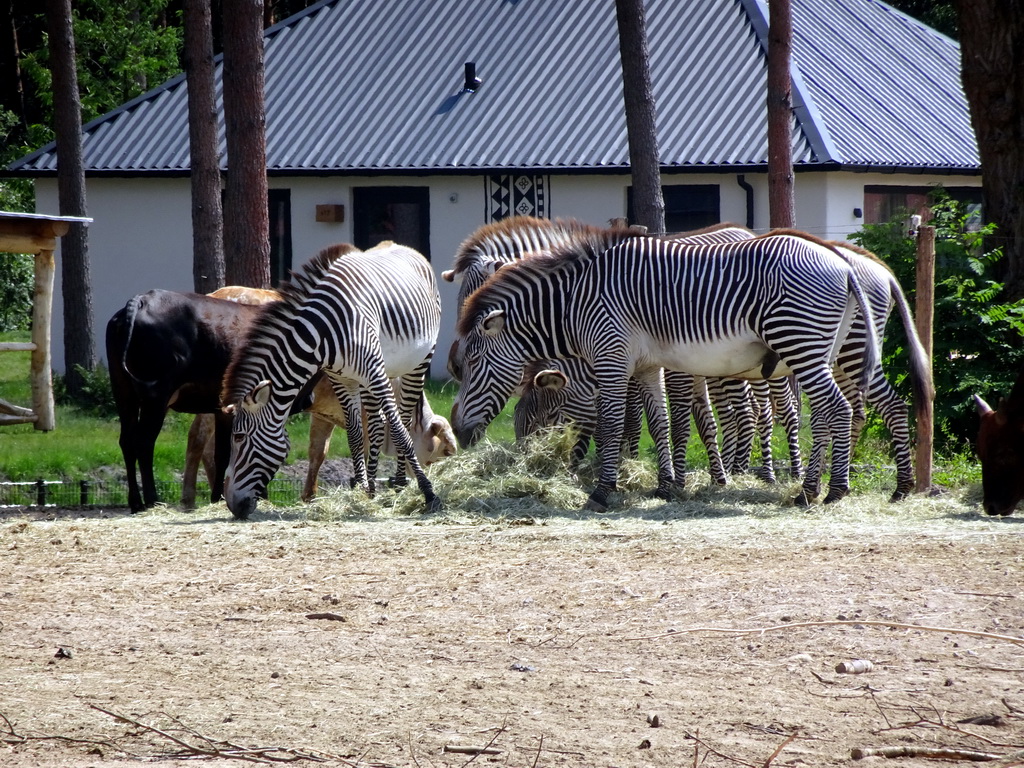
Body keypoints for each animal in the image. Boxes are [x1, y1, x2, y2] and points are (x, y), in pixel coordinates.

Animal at [105, 290, 266, 514]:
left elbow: (223, 453)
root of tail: (143, 299)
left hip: (123, 391)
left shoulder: (223, 410)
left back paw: (136, 502)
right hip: (156, 395)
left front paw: (218, 497)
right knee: (144, 442)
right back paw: (152, 500)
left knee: (127, 441)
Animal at [222, 243, 442, 520]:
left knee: (401, 418)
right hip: (375, 375)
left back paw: (401, 484)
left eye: (239, 437)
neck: (322, 335)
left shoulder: (375, 372)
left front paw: (429, 493)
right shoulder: (342, 379)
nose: (232, 505)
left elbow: (400, 433)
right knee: (376, 425)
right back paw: (375, 487)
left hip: (418, 362)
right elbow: (355, 435)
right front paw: (362, 491)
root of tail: (404, 247)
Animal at [452, 231, 876, 514]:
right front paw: (666, 487)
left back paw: (831, 490)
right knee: (823, 416)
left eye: (473, 363)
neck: (575, 303)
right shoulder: (646, 364)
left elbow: (612, 424)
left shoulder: (611, 357)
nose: (458, 432)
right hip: (820, 350)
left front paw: (601, 492)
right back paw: (810, 489)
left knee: (838, 410)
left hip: (799, 342)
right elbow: (658, 423)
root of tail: (842, 262)